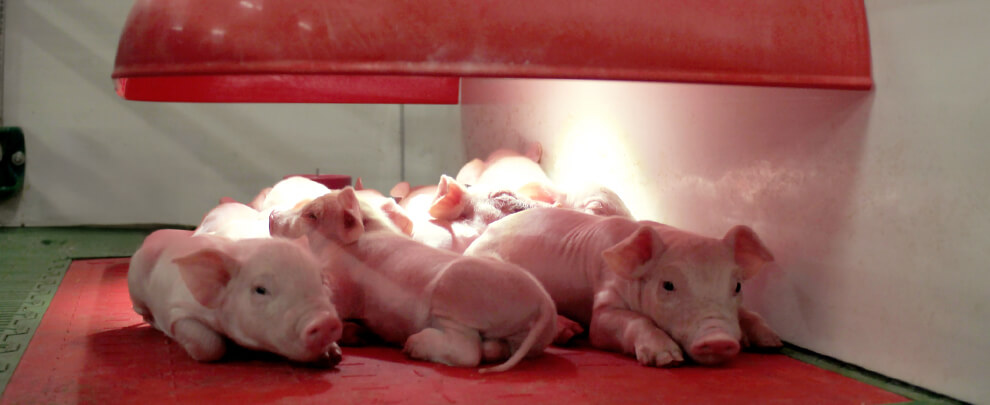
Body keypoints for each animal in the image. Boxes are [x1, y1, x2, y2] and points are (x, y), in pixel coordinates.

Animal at [128, 229, 344, 365]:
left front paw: (334, 355)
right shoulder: (178, 310)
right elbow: (211, 346)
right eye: (260, 289)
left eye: (322, 280)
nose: (325, 321)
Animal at [270, 187, 557, 372]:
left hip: (454, 292)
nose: (272, 214)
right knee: (496, 349)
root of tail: (543, 303)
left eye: (312, 215)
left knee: (468, 351)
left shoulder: (342, 282)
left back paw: (413, 345)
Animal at [464, 208, 782, 367]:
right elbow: (613, 324)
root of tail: (479, 239)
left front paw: (772, 343)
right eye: (668, 285)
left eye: (737, 286)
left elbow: (748, 315)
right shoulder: (605, 301)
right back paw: (570, 333)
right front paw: (667, 359)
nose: (718, 338)